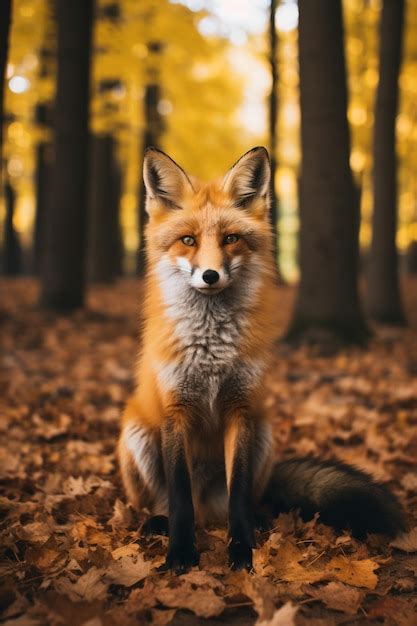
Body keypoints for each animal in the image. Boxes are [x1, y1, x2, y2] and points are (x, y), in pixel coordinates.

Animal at [116, 145, 404, 572]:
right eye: (188, 240)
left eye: (231, 238)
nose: (210, 275)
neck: (211, 351)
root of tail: (208, 507)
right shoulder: (175, 411)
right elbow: (180, 499)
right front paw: (181, 553)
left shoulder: (242, 409)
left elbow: (238, 496)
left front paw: (241, 551)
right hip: (136, 434)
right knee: (163, 503)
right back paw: (156, 523)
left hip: (263, 432)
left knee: (245, 501)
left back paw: (259, 520)